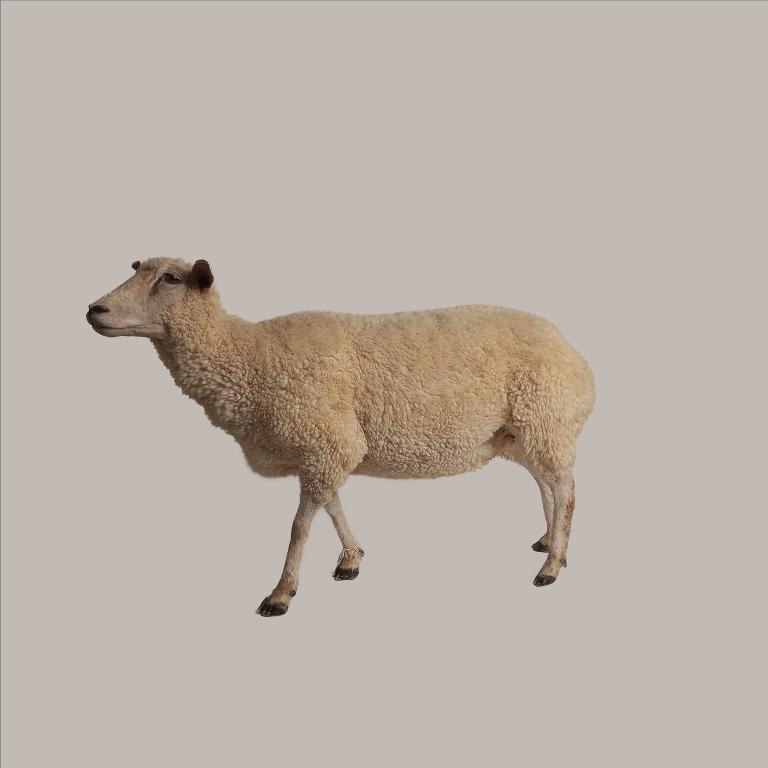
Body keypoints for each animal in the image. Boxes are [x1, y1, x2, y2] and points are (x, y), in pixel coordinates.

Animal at [87, 257, 595, 616]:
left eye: (170, 278)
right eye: (136, 270)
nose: (94, 310)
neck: (250, 358)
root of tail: (577, 360)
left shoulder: (326, 439)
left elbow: (299, 526)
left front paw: (281, 594)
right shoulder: (320, 449)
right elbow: (331, 505)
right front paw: (351, 559)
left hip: (544, 417)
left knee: (567, 491)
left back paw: (551, 566)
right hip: (525, 431)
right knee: (549, 486)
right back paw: (549, 543)